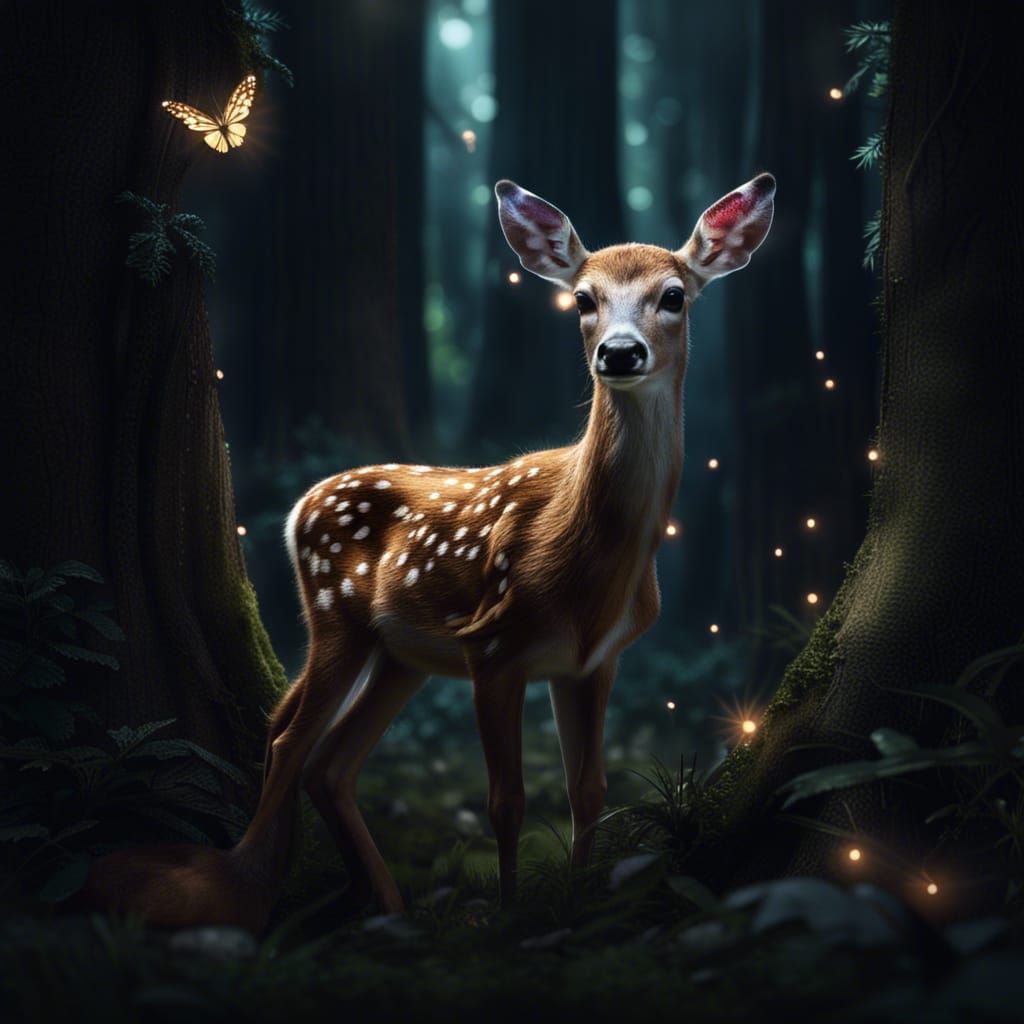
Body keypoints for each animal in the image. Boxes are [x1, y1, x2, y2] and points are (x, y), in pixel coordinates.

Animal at [84, 172, 775, 933]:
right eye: (583, 299)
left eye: (674, 296)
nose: (619, 354)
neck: (588, 560)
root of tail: (299, 509)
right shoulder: (492, 644)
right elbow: (506, 800)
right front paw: (506, 917)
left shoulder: (595, 661)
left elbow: (588, 791)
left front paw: (573, 907)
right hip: (338, 616)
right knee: (293, 735)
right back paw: (238, 891)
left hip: (400, 654)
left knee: (325, 756)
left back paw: (385, 907)